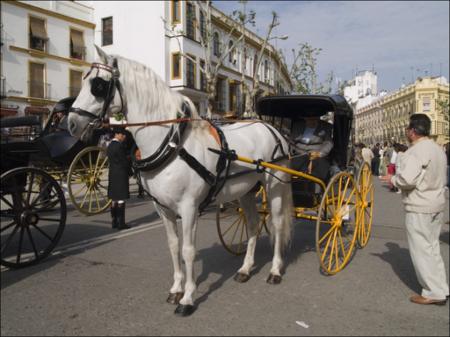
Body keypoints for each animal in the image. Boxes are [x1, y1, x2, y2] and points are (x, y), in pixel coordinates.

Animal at [67, 46, 292, 316]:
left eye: (98, 85)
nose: (71, 123)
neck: (171, 144)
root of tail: (272, 128)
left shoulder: (189, 207)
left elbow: (188, 250)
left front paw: (188, 297)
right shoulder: (163, 208)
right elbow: (174, 246)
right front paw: (176, 289)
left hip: (275, 186)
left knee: (277, 224)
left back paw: (275, 270)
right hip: (246, 191)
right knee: (253, 224)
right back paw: (246, 268)